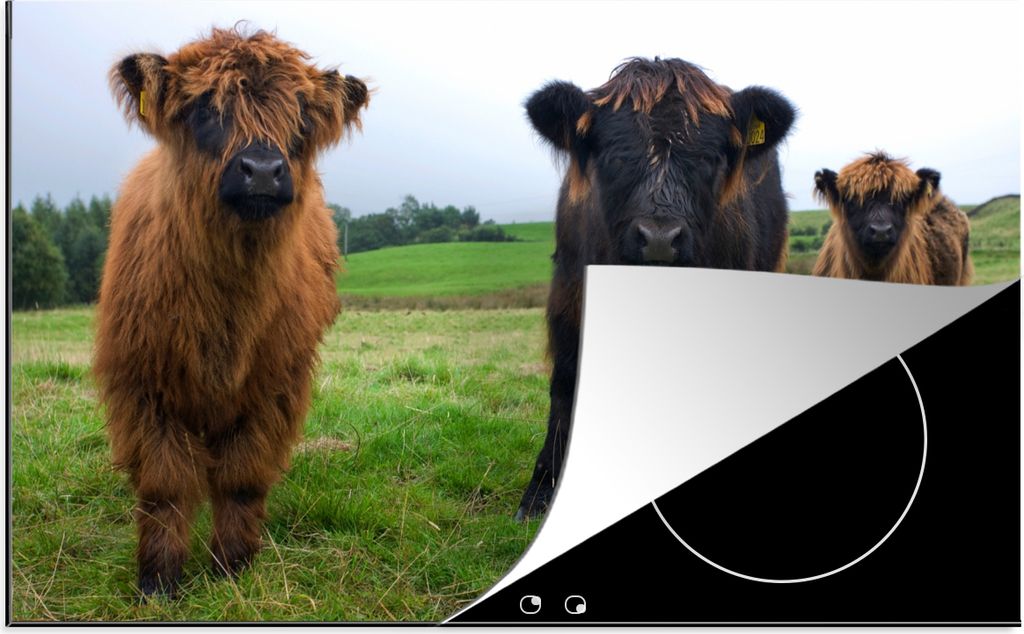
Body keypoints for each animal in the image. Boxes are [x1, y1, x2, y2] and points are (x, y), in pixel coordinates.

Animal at [94, 27, 369, 597]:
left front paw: (233, 566)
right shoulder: (143, 385)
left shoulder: (273, 387)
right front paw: (158, 579)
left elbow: (242, 477)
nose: (262, 170)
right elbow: (164, 485)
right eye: (204, 108)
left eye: (302, 116)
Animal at [516, 57, 796, 519]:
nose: (661, 239)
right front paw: (542, 492)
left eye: (711, 159)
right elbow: (565, 385)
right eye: (613, 156)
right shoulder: (569, 302)